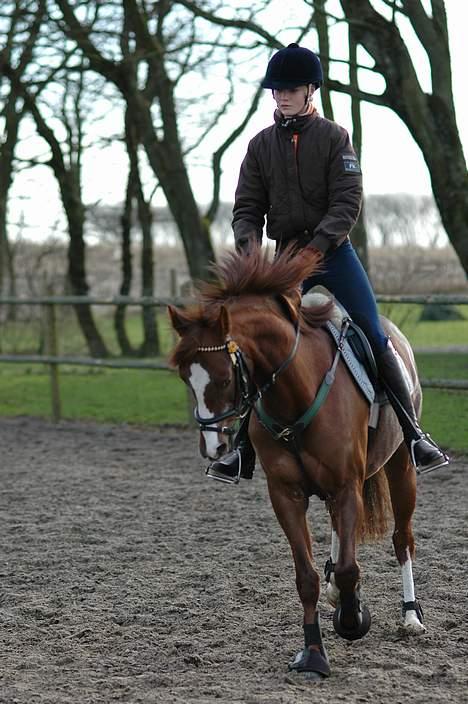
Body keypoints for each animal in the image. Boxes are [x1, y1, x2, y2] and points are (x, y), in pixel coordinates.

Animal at [168, 244, 426, 680]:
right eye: (186, 379)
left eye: (224, 378)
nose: (213, 447)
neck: (295, 393)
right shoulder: (286, 494)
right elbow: (307, 577)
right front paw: (313, 654)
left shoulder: (346, 485)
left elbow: (350, 567)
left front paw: (353, 620)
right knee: (340, 536)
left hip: (400, 468)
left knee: (401, 537)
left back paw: (410, 617)